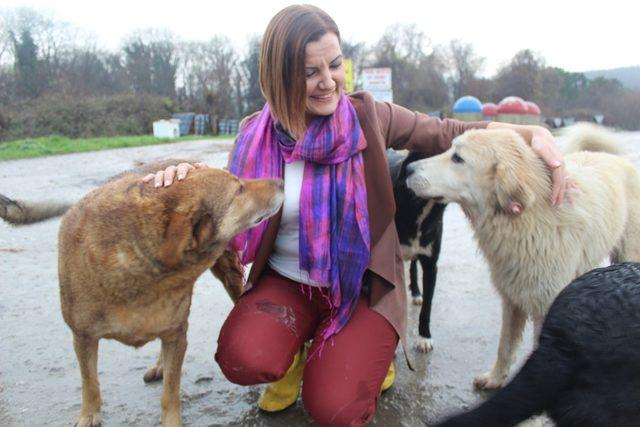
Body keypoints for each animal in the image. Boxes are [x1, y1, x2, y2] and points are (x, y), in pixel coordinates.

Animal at [57, 168, 282, 427]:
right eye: (239, 189)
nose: (281, 180)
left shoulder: (177, 334)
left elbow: (170, 393)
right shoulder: (82, 336)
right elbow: (89, 381)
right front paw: (89, 415)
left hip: (230, 277)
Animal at [404, 123, 640, 392]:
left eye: (458, 158)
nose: (408, 169)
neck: (527, 218)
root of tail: (612, 158)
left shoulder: (545, 305)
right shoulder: (512, 298)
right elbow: (505, 346)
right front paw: (495, 379)